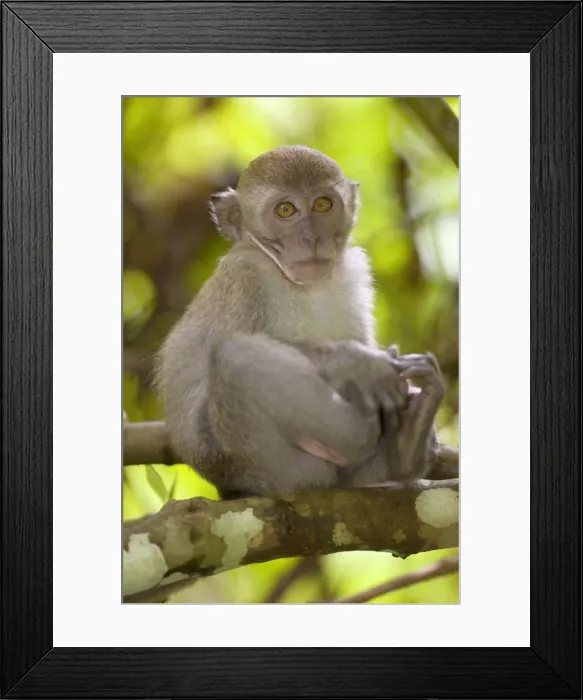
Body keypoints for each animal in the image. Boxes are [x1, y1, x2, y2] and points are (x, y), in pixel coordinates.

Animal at [155, 145, 445, 499]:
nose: (311, 238)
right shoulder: (243, 277)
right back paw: (362, 430)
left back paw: (405, 446)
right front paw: (359, 362)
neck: (306, 285)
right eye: (286, 210)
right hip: (264, 464)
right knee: (234, 356)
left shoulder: (354, 270)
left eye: (322, 204)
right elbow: (224, 346)